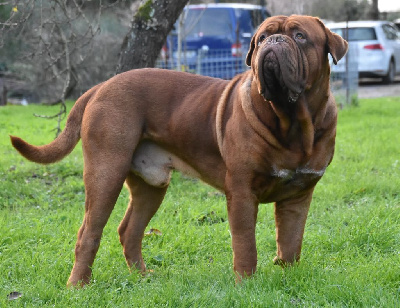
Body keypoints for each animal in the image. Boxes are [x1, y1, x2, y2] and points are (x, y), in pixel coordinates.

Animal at [9, 15, 346, 286]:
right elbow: (245, 244)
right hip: (106, 173)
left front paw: (288, 278)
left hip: (150, 185)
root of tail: (100, 86)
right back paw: (78, 286)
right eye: (262, 37)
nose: (274, 41)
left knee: (129, 230)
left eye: (300, 36)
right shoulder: (241, 192)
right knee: (88, 233)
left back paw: (142, 277)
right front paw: (246, 284)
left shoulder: (299, 195)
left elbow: (291, 243)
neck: (293, 120)